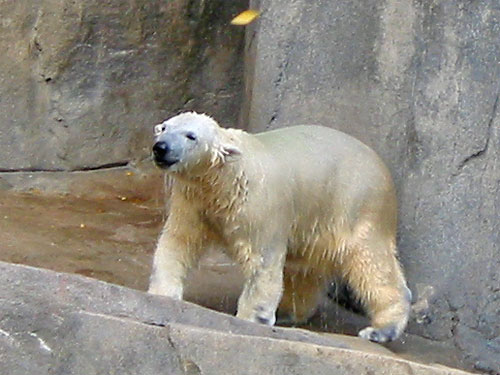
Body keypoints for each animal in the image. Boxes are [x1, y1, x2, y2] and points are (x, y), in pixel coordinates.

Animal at [147, 111, 410, 344]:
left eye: (191, 136)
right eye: (164, 128)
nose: (161, 147)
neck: (224, 178)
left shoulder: (258, 206)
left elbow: (262, 263)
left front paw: (250, 319)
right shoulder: (194, 202)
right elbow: (178, 243)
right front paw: (162, 296)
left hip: (357, 205)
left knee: (370, 262)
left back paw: (381, 329)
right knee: (306, 268)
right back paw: (288, 312)